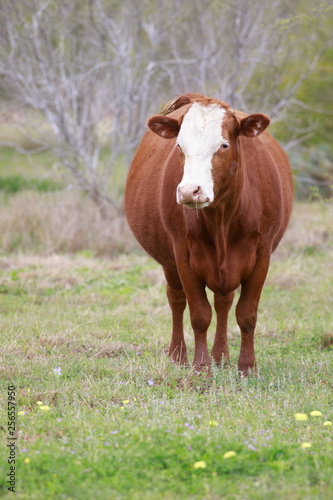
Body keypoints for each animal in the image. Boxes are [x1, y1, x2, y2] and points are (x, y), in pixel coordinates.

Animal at [124, 94, 290, 376]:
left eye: (224, 145)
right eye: (179, 145)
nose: (189, 190)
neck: (222, 217)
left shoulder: (262, 255)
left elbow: (247, 314)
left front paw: (247, 367)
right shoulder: (183, 255)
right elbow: (199, 315)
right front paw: (200, 368)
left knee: (224, 302)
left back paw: (221, 356)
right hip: (168, 260)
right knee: (176, 299)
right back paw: (178, 356)